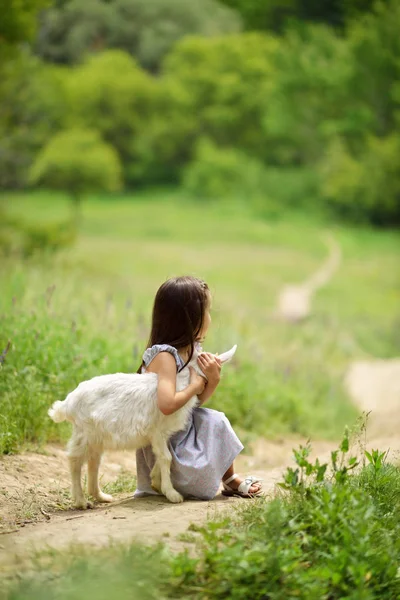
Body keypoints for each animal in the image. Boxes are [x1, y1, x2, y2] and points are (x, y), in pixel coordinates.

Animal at [48, 344, 236, 508]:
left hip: (96, 437)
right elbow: (167, 457)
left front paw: (156, 482)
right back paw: (81, 501)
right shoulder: (158, 431)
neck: (182, 382)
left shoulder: (161, 435)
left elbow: (163, 456)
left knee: (93, 461)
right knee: (75, 460)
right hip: (84, 433)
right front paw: (172, 494)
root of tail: (67, 404)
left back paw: (101, 497)